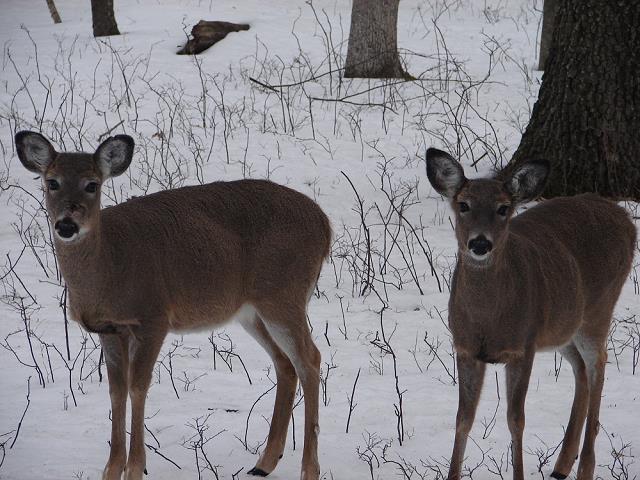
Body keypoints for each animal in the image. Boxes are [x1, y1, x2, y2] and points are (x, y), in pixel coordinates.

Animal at [16, 130, 330, 480]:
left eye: (92, 184)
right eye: (52, 182)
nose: (67, 225)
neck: (110, 265)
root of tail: (325, 223)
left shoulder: (153, 318)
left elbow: (138, 388)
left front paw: (135, 468)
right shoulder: (109, 329)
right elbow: (116, 391)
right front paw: (111, 469)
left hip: (283, 295)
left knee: (310, 359)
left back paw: (309, 469)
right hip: (252, 311)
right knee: (285, 363)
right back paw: (263, 463)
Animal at [424, 147, 636, 480]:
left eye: (503, 208)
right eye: (463, 204)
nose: (480, 243)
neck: (488, 319)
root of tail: (625, 217)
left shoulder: (522, 347)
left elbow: (516, 420)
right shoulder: (465, 347)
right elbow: (463, 418)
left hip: (598, 309)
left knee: (598, 365)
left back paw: (585, 467)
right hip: (561, 327)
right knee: (581, 370)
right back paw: (562, 465)